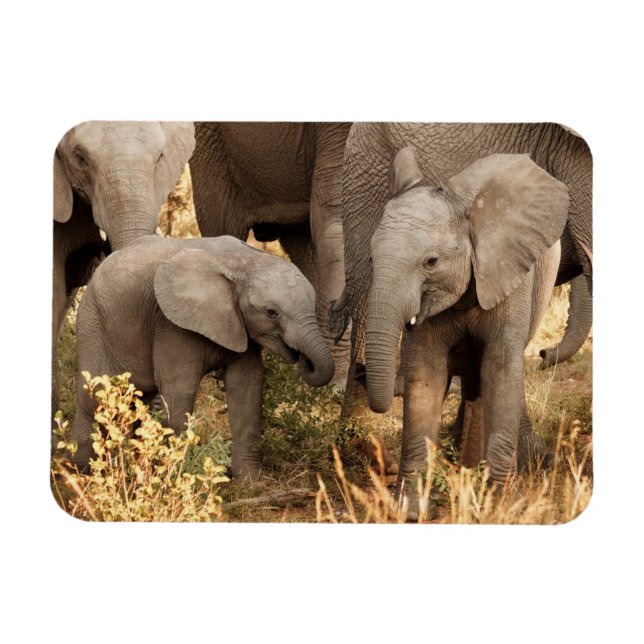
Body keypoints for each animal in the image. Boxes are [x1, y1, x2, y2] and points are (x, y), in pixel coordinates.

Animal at [69, 235, 335, 479]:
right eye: (271, 312)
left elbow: (246, 387)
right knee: (95, 399)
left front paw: (251, 482)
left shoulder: (240, 324)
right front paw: (176, 477)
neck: (244, 262)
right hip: (92, 324)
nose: (302, 357)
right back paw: (85, 474)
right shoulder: (170, 323)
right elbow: (180, 389)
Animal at [360, 149, 569, 489]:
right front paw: (410, 501)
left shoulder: (508, 272)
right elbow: (425, 373)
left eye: (431, 262)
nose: (361, 373)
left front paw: (497, 496)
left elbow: (500, 367)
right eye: (371, 258)